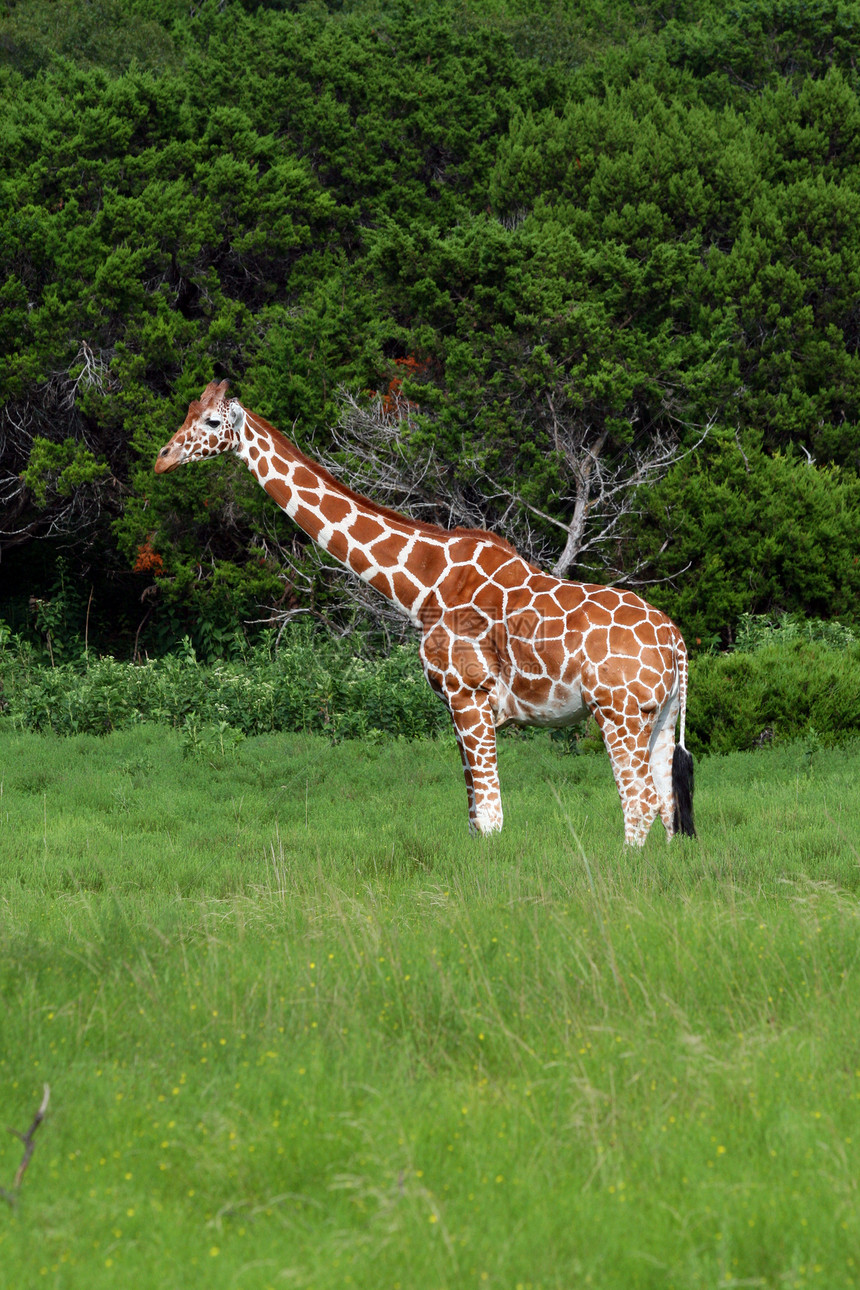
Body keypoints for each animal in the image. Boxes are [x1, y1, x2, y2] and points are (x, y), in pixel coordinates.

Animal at [154, 379, 696, 846]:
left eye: (210, 421)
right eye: (186, 412)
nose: (163, 459)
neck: (424, 586)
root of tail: (676, 642)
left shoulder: (469, 694)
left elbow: (492, 818)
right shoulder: (457, 707)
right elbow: (474, 817)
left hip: (617, 710)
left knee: (639, 801)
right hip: (661, 714)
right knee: (667, 804)